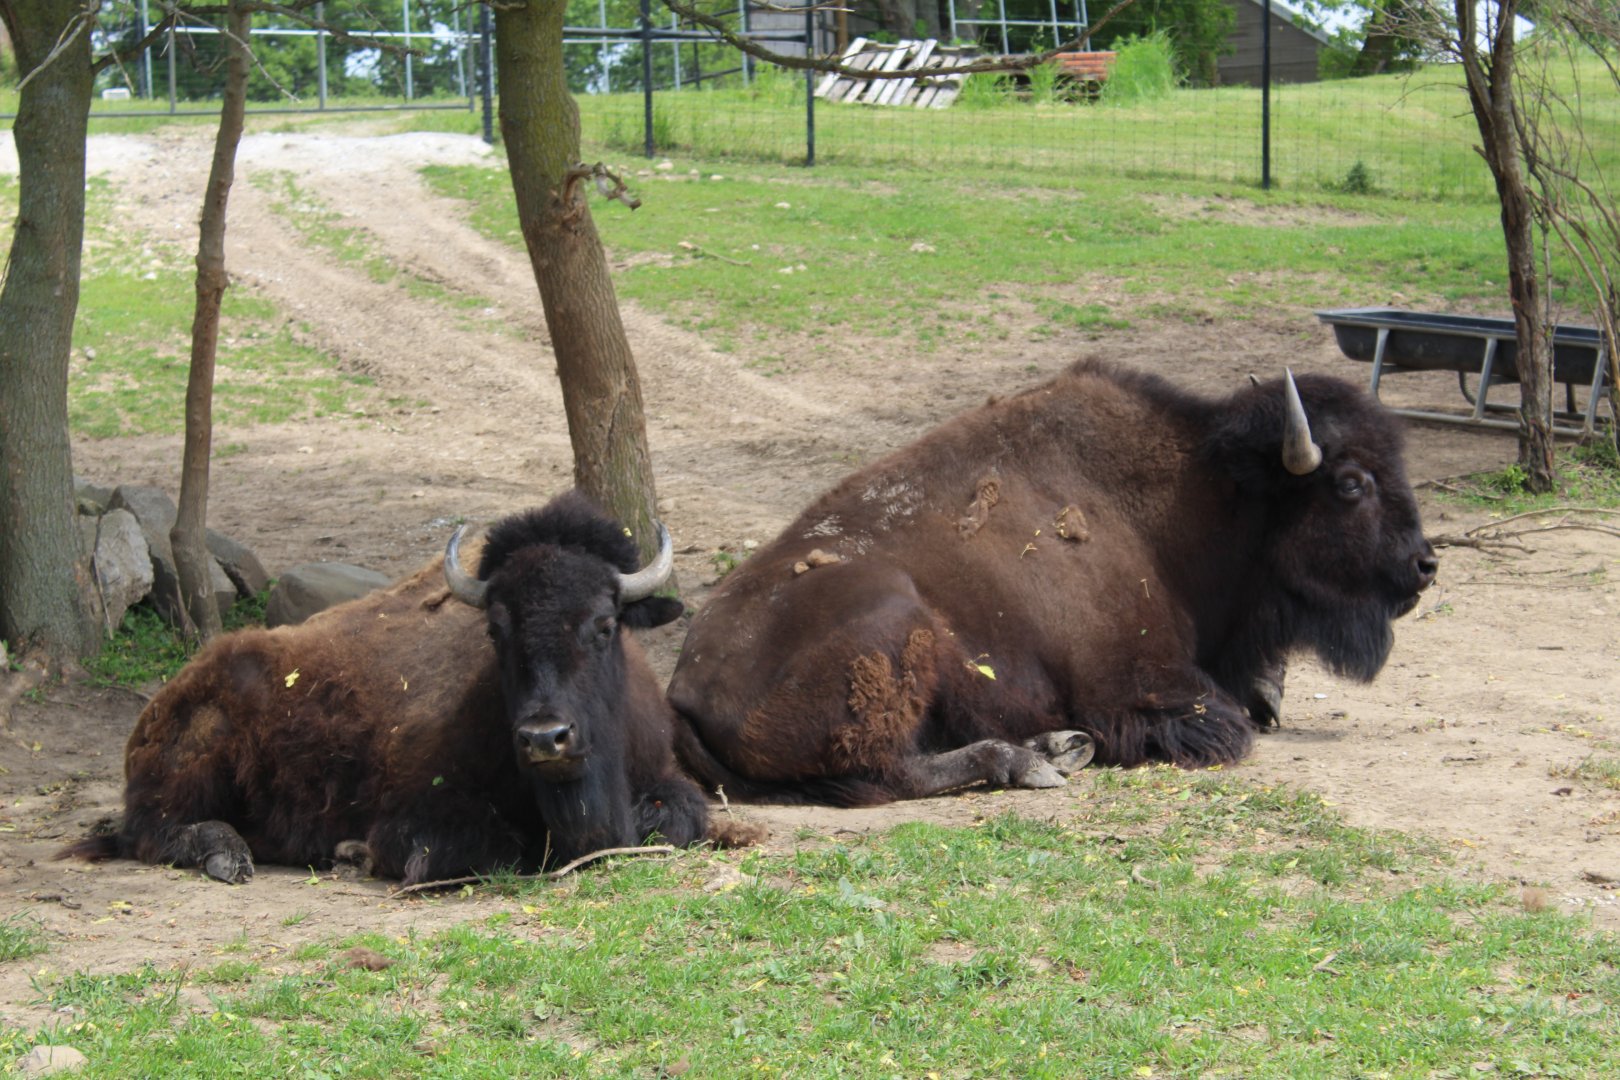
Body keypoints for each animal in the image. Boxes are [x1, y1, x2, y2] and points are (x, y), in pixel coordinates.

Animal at [65, 492, 742, 885]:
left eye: (604, 623)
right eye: (496, 629)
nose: (545, 738)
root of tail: (162, 701)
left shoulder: (665, 780)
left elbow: (680, 819)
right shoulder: (419, 818)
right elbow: (480, 847)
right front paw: (357, 852)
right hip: (196, 757)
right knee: (148, 831)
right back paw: (229, 856)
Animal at [669, 361, 1437, 805]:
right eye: (1352, 483)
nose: (1425, 564)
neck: (1194, 496)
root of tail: (681, 687)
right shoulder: (1137, 685)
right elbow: (1224, 725)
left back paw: (1057, 746)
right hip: (895, 625)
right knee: (892, 769)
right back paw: (1031, 760)